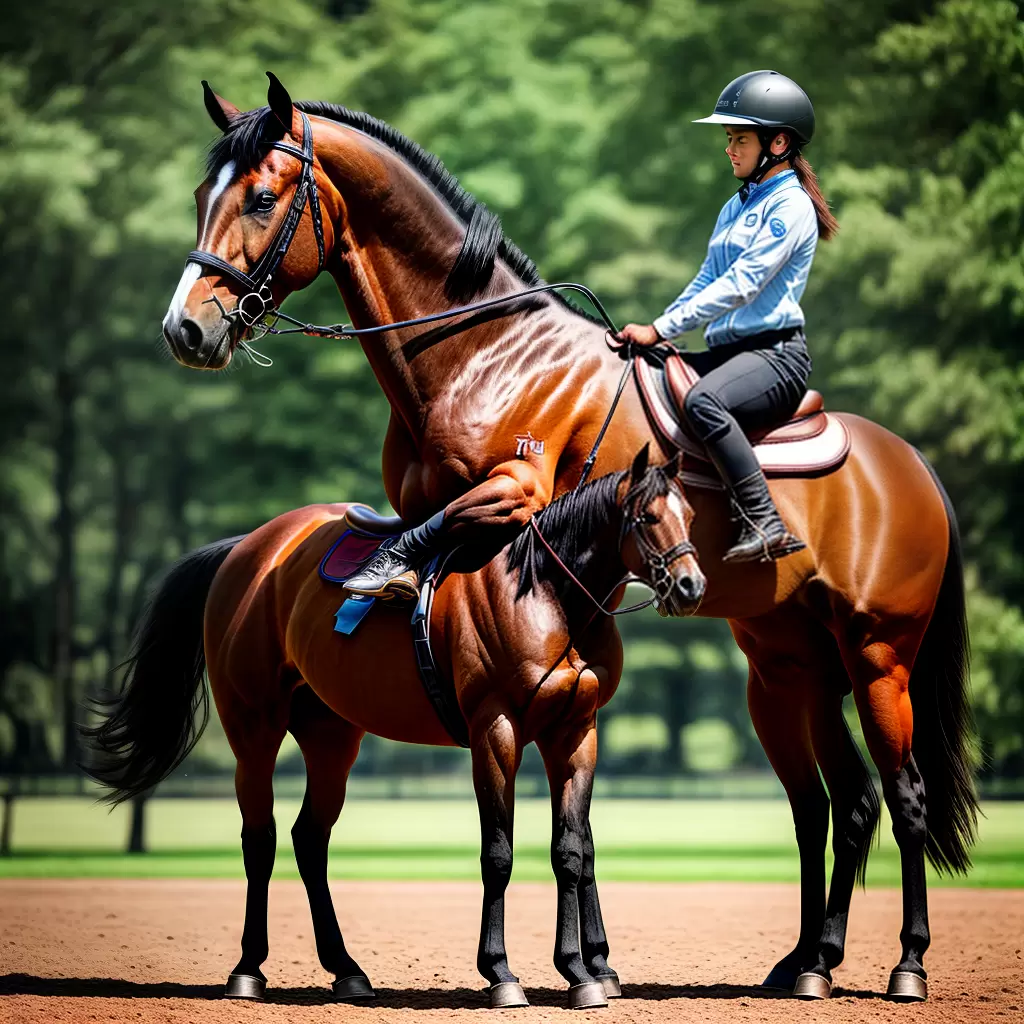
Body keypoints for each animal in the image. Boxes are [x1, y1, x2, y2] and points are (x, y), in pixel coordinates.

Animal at [84, 450, 702, 1007]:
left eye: (691, 514)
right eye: (648, 517)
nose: (692, 586)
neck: (544, 590)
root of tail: (247, 548)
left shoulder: (574, 731)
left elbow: (572, 850)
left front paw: (579, 970)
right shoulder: (495, 730)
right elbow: (498, 854)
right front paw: (501, 972)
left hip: (331, 738)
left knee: (309, 839)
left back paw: (346, 969)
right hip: (253, 729)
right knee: (260, 839)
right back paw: (248, 969)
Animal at [159, 73, 977, 1000]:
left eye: (262, 198)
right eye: (203, 195)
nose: (186, 329)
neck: (484, 351)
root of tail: (911, 464)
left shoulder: (513, 492)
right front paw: (590, 962)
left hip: (879, 659)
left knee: (904, 798)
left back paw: (905, 963)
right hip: (792, 667)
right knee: (834, 804)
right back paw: (809, 962)